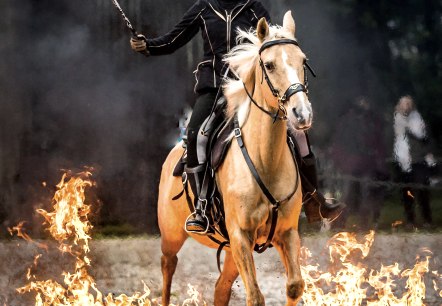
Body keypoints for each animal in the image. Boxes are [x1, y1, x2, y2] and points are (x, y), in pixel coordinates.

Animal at [157, 11, 312, 306]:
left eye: (303, 61)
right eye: (269, 65)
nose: (302, 114)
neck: (265, 161)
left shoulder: (286, 232)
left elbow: (295, 285)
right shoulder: (240, 235)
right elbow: (255, 296)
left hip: (229, 251)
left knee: (220, 288)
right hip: (171, 235)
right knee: (168, 268)